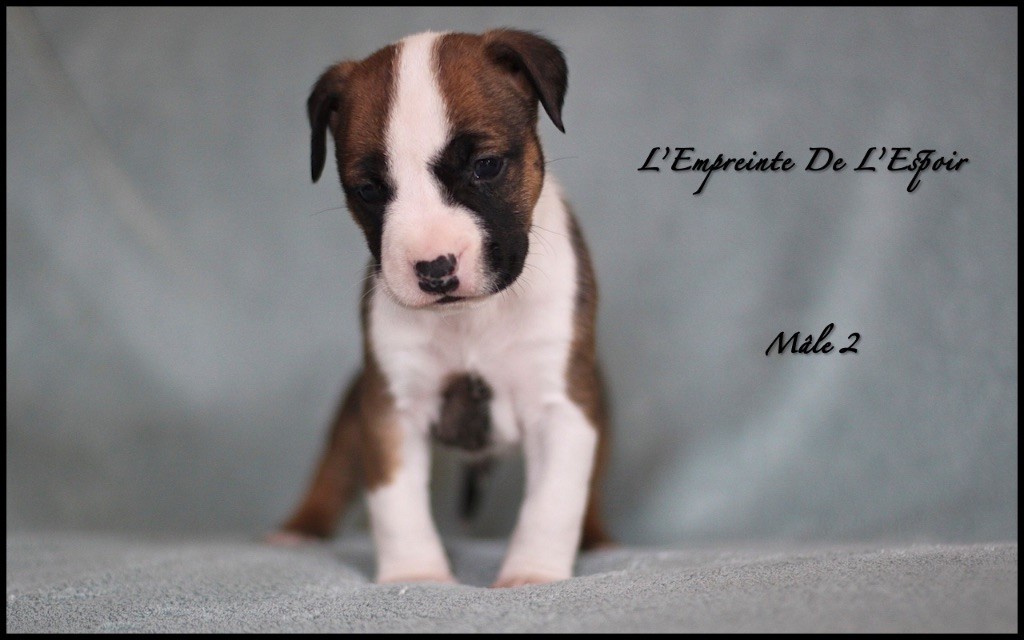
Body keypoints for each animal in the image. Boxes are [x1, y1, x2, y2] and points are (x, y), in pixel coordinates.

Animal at [272, 29, 611, 588]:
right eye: (369, 190)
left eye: (486, 166)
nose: (434, 269)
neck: (471, 320)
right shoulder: (389, 410)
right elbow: (397, 503)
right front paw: (416, 575)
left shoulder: (562, 408)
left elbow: (553, 502)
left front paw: (533, 574)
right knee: (335, 464)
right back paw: (301, 527)